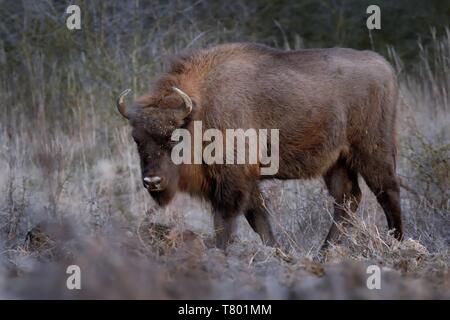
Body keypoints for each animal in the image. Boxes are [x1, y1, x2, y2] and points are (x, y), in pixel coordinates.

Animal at [116, 43, 404, 250]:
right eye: (137, 139)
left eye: (174, 138)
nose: (152, 181)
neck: (200, 110)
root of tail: (383, 65)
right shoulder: (246, 181)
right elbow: (259, 220)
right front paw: (277, 252)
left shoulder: (233, 181)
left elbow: (225, 222)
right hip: (337, 162)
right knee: (347, 199)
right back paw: (325, 252)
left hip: (372, 151)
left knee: (387, 192)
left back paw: (397, 243)